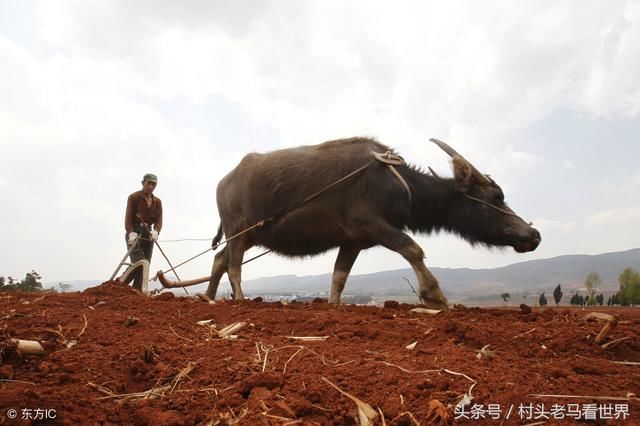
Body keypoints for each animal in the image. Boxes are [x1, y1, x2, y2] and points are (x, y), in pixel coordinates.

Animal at [158, 137, 536, 310]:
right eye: (497, 196)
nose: (533, 234)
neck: (398, 186)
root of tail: (225, 181)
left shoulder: (352, 241)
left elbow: (339, 277)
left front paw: (334, 306)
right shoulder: (372, 225)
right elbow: (413, 249)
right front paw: (435, 296)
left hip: (247, 235)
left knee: (220, 259)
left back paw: (208, 297)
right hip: (240, 231)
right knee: (233, 265)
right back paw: (238, 299)